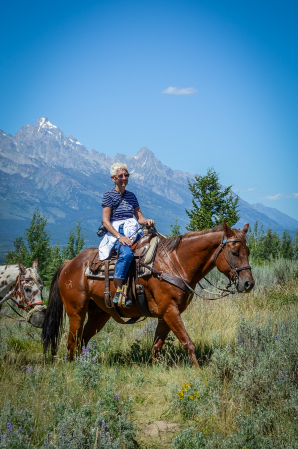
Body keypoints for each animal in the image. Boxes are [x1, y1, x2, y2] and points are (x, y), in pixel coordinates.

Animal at [43, 220, 255, 364]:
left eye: (248, 251)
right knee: (72, 342)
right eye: (234, 252)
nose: (248, 284)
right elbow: (188, 343)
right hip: (76, 312)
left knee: (83, 340)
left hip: (99, 314)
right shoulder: (170, 311)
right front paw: (198, 372)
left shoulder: (166, 315)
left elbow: (156, 346)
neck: (176, 263)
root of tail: (69, 263)